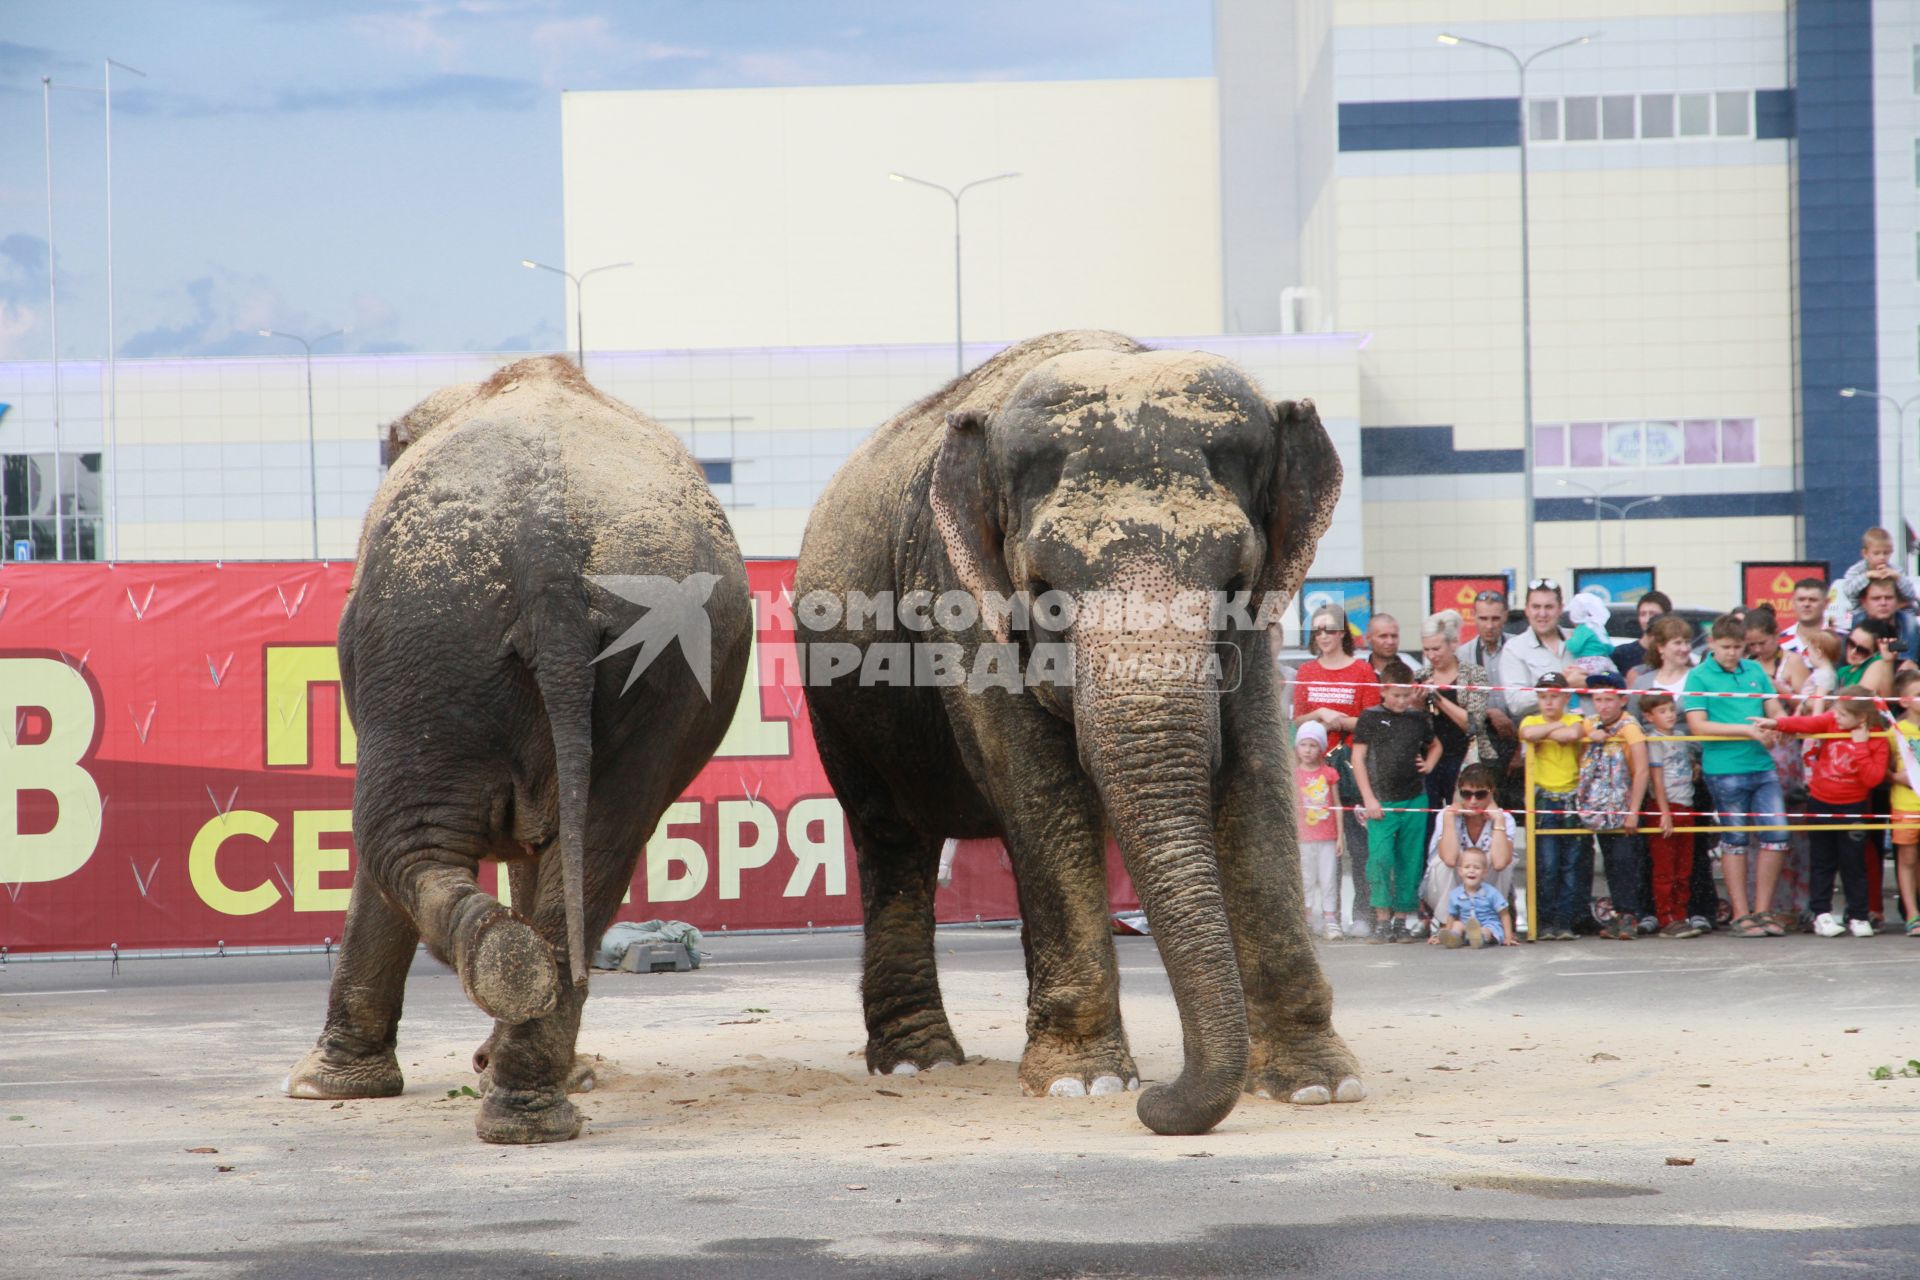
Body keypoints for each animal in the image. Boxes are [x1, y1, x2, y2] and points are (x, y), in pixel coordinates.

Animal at [284, 355, 748, 1143]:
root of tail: (549, 551)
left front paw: (320, 1090)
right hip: (657, 663)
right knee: (592, 858)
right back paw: (531, 1096)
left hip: (429, 635)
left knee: (399, 843)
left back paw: (497, 987)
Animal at [794, 333, 1367, 1143]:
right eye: (1045, 593)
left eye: (1235, 581)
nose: (1157, 1103)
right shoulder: (961, 600)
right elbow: (1038, 785)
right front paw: (1083, 1084)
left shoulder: (1260, 638)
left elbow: (1258, 778)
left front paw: (1319, 1086)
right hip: (838, 701)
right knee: (892, 836)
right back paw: (917, 1064)